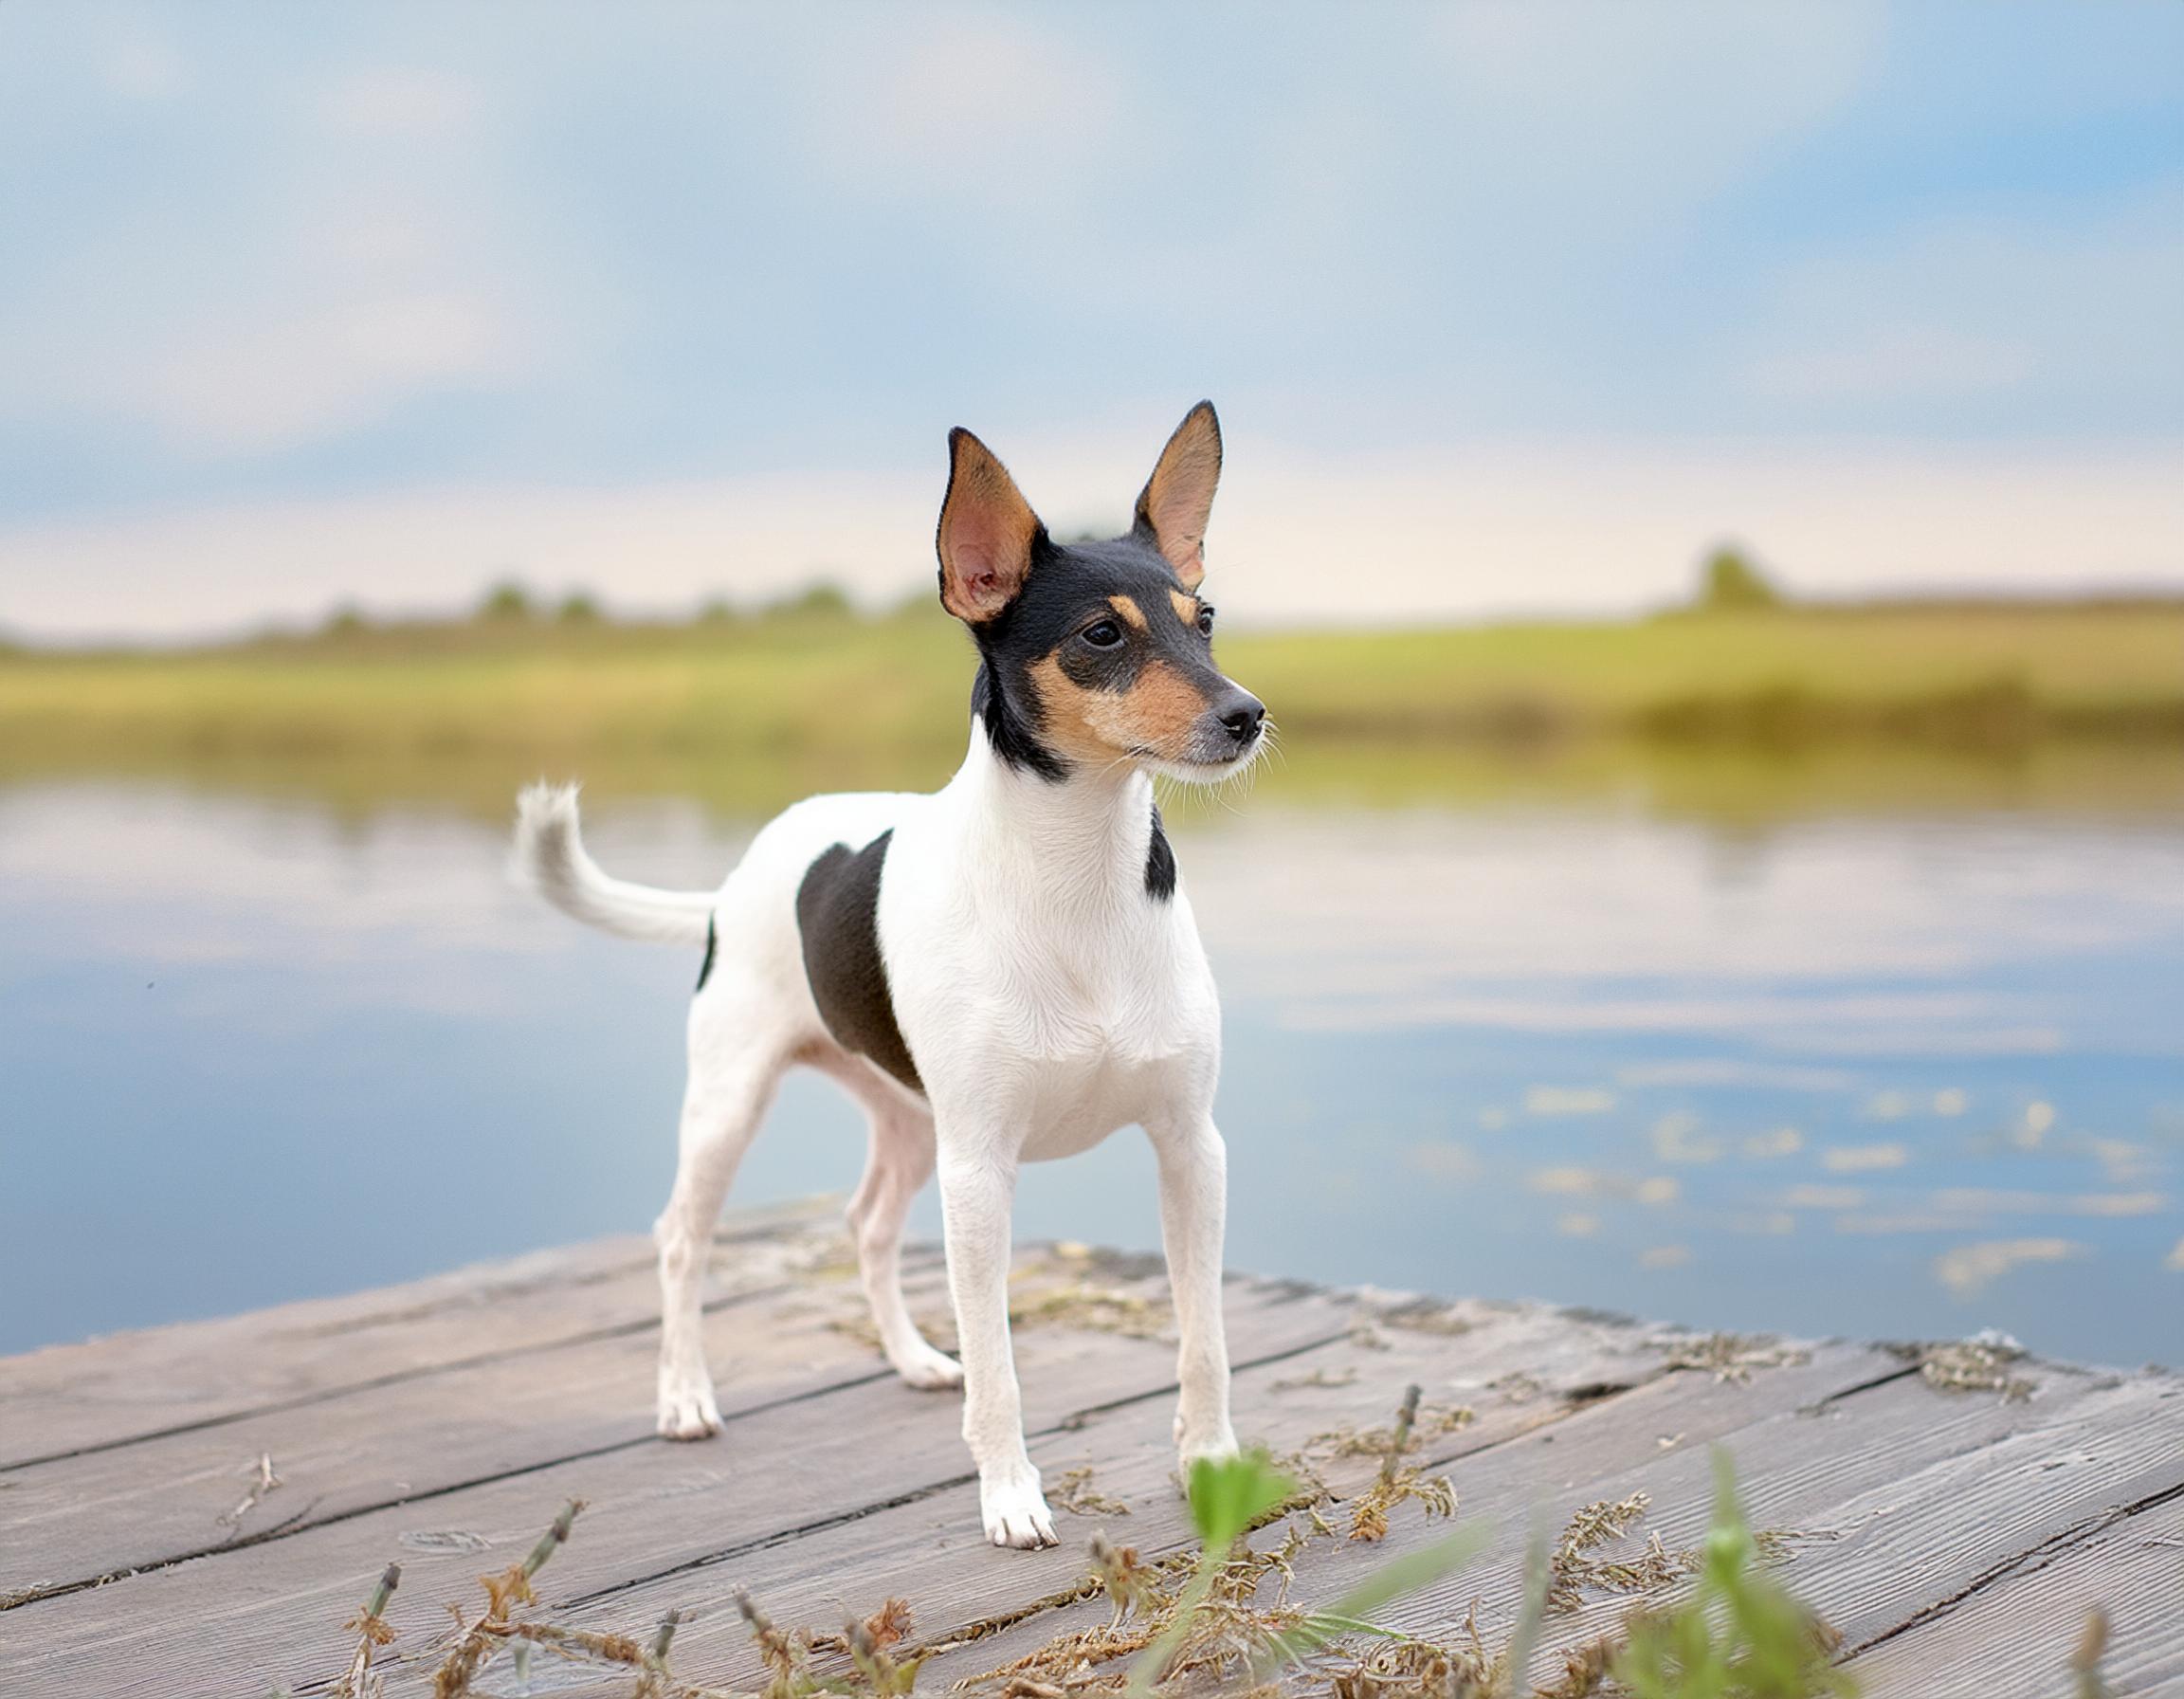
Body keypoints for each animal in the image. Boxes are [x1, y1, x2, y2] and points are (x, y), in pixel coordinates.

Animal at [511, 404, 1266, 1545]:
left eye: (1206, 618)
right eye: (1102, 636)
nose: (1247, 714)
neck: (1076, 879)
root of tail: (732, 884)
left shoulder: (1192, 1148)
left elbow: (1204, 1335)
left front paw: (1211, 1464)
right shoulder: (981, 1171)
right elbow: (1000, 1364)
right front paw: (1009, 1494)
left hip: (910, 1122)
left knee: (865, 1229)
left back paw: (913, 1361)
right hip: (732, 1105)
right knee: (681, 1240)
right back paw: (684, 1397)